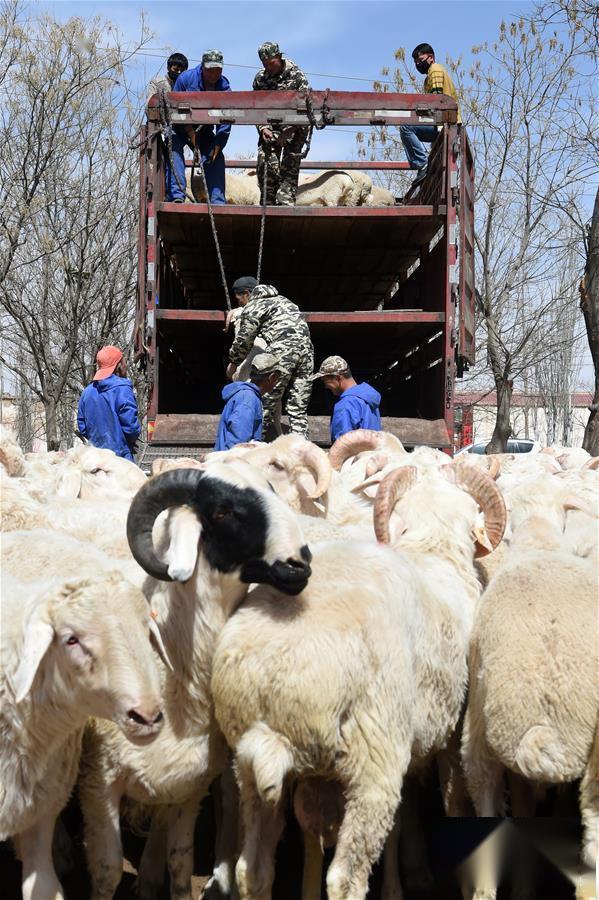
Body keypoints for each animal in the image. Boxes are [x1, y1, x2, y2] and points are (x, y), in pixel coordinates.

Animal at [77, 460, 312, 896]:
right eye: (221, 511)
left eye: (271, 489)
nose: (299, 563)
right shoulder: (99, 782)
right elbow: (107, 870)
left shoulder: (190, 784)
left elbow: (180, 862)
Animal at [211, 464, 506, 900]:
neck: (432, 552)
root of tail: (272, 677)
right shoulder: (450, 733)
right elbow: (455, 804)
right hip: (374, 761)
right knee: (345, 878)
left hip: (249, 765)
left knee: (254, 870)